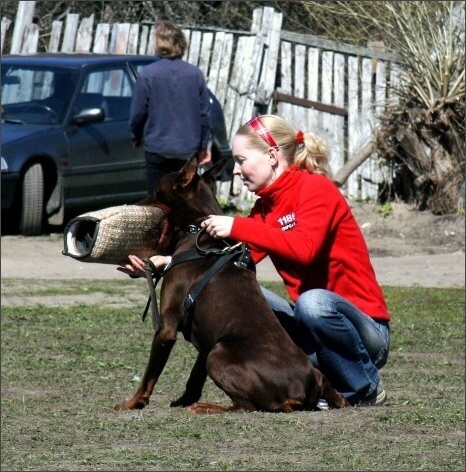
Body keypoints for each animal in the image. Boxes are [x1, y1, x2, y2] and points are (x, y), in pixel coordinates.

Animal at [114, 154, 348, 412]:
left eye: (156, 190)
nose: (135, 203)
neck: (198, 230)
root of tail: (303, 389)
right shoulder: (206, 341)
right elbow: (194, 377)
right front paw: (183, 401)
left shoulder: (167, 327)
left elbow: (150, 376)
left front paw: (131, 403)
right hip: (222, 350)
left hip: (220, 352)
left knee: (246, 406)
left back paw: (205, 407)